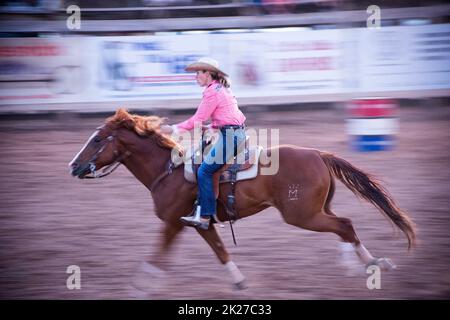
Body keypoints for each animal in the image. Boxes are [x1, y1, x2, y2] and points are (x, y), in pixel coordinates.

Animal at [68, 109, 416, 288]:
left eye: (98, 139)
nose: (73, 166)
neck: (168, 171)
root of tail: (319, 153)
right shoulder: (200, 224)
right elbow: (221, 252)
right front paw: (238, 281)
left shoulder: (173, 223)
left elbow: (157, 256)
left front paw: (141, 286)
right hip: (317, 209)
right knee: (343, 225)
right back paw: (367, 264)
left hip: (302, 214)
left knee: (344, 225)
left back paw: (367, 264)